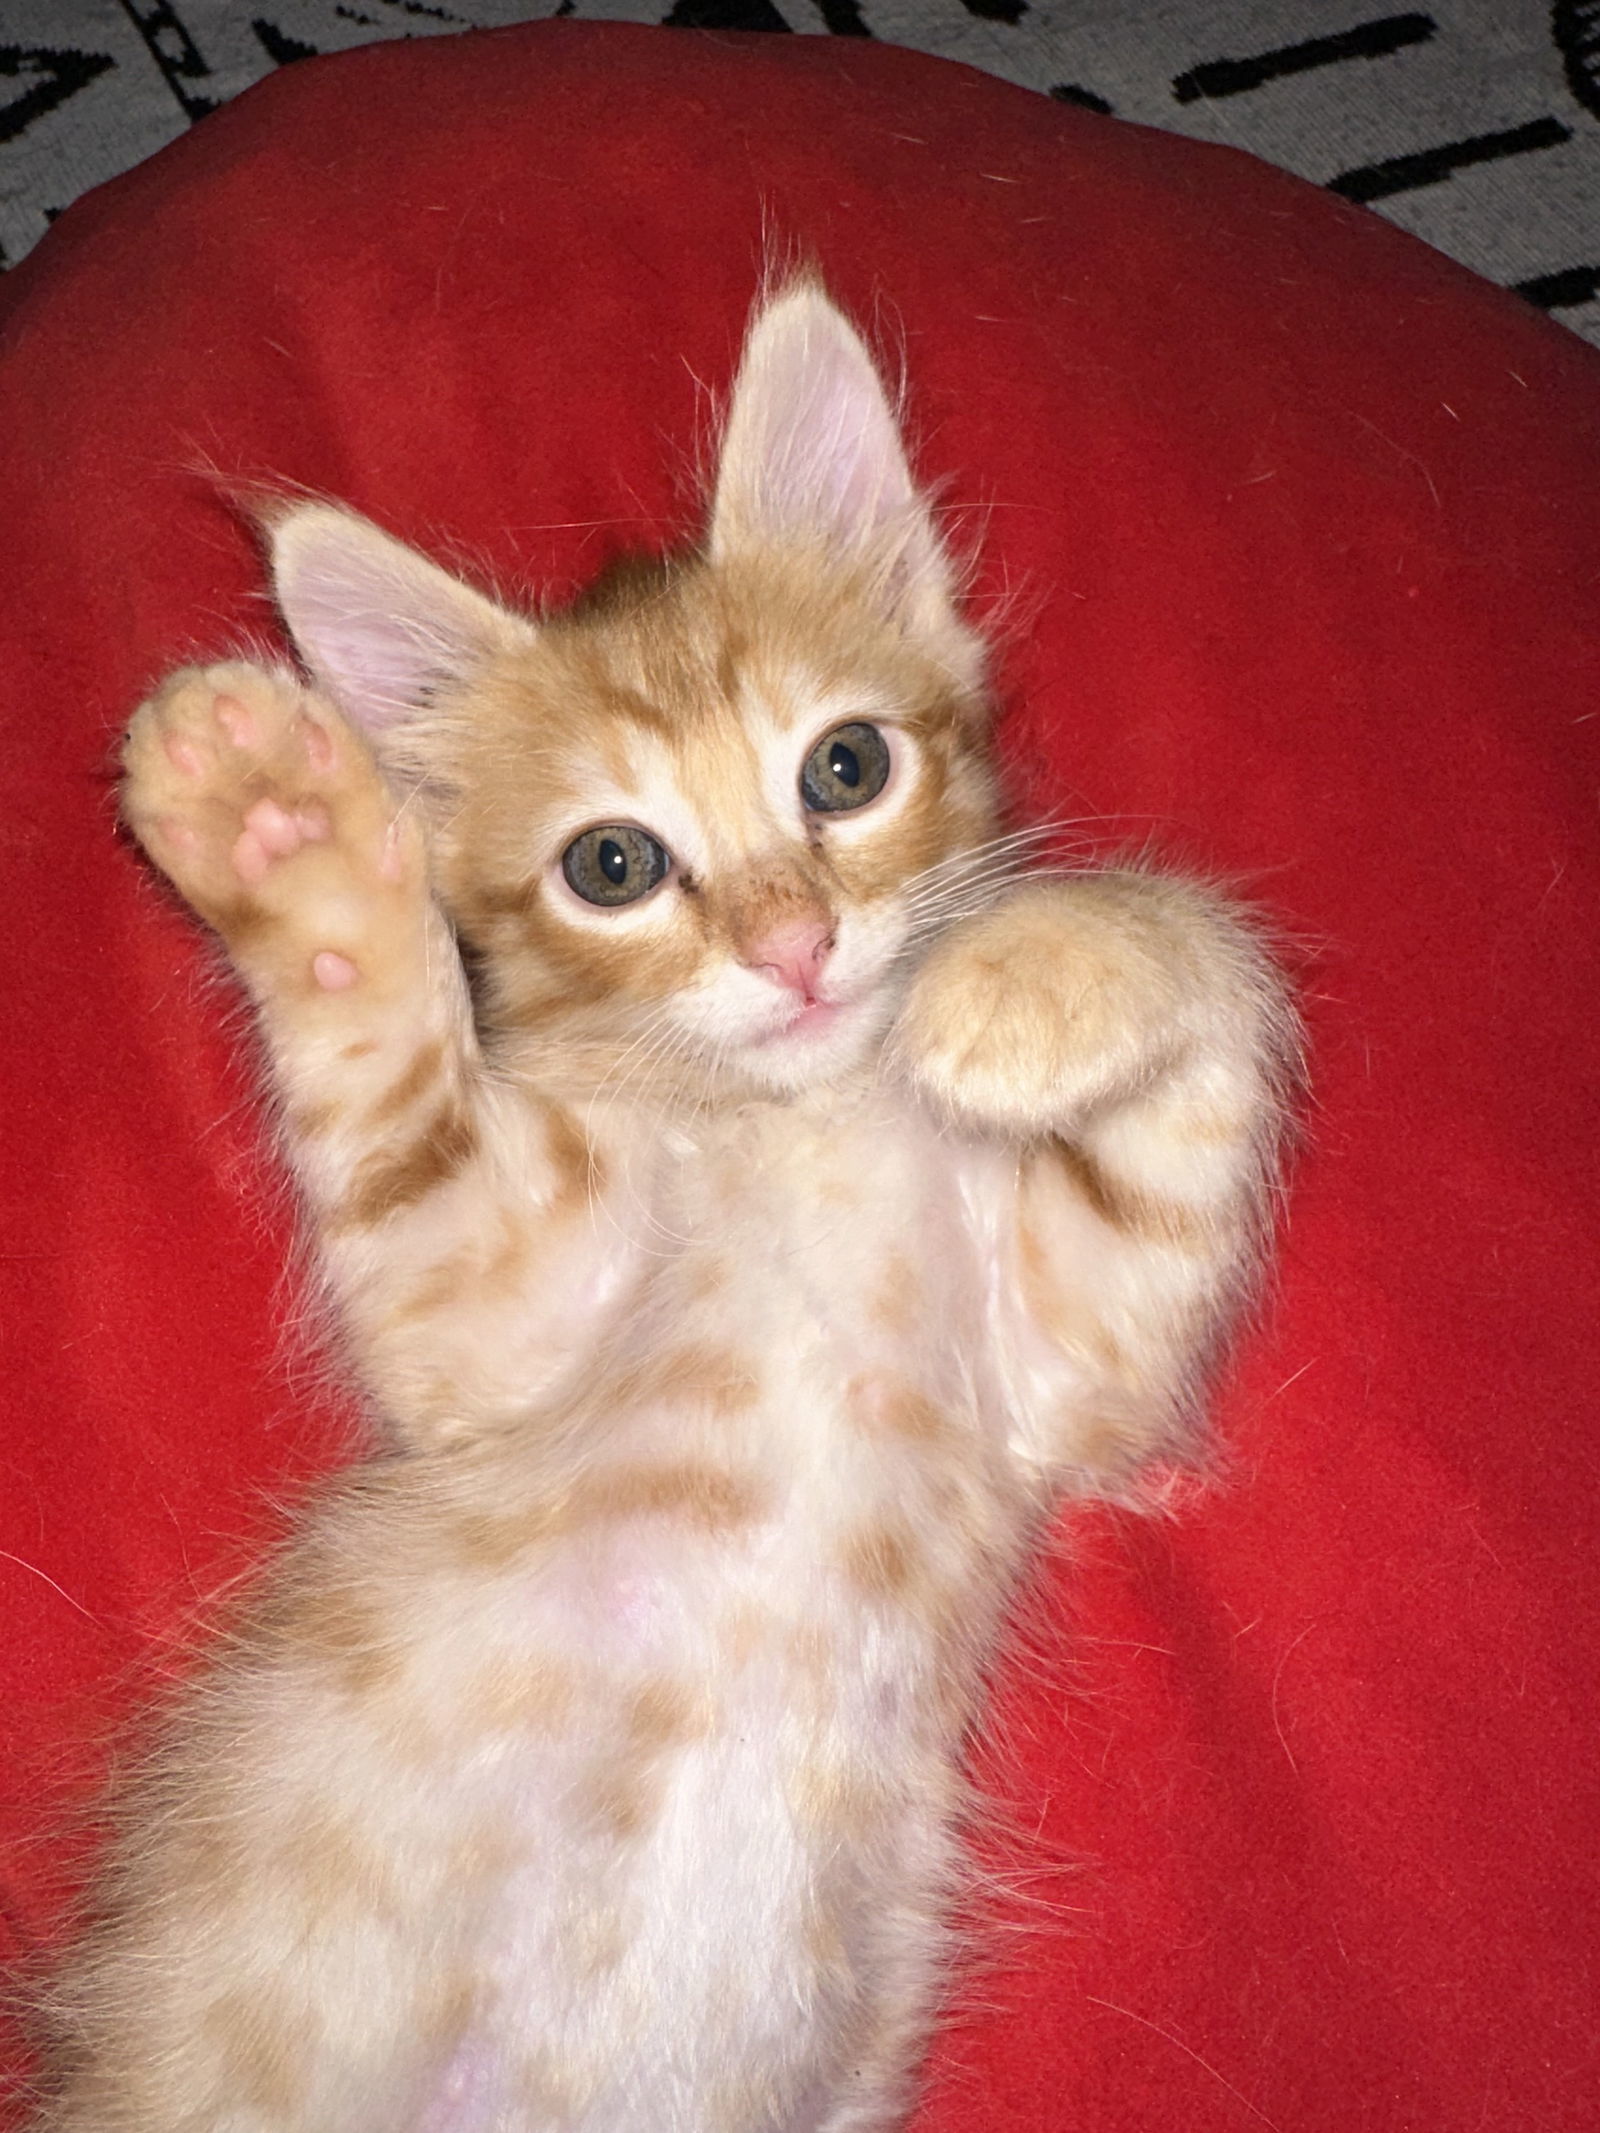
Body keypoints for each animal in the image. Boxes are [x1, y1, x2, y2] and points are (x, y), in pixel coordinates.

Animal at [34, 283, 1288, 2133]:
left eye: (845, 767)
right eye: (611, 865)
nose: (794, 946)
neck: (799, 1119)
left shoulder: (1076, 1367)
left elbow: (1203, 948)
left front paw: (1027, 982)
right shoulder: (485, 1311)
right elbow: (396, 1086)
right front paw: (281, 823)